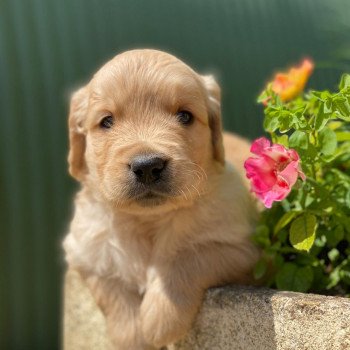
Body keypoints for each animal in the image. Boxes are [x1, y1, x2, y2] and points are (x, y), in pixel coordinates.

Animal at [63, 47, 260, 348]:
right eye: (107, 121)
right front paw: (135, 335)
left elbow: (189, 255)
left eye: (185, 116)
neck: (148, 220)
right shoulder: (85, 250)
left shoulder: (245, 249)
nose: (147, 166)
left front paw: (160, 318)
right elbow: (110, 284)